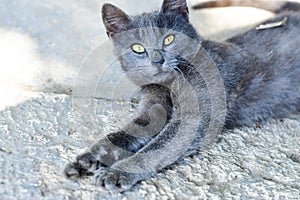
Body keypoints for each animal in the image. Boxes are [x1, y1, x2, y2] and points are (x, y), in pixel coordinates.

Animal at [63, 0, 300, 191]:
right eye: (138, 48)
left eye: (169, 39)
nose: (157, 60)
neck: (168, 85)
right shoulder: (150, 110)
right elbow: (120, 135)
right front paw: (87, 159)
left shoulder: (193, 120)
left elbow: (156, 149)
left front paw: (117, 172)